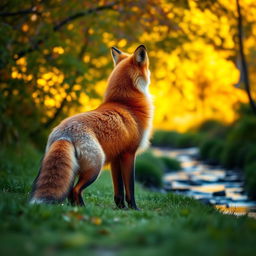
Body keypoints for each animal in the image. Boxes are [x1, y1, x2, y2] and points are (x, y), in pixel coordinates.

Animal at [30, 44, 153, 210]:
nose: (151, 75)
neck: (126, 104)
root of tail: (64, 134)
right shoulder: (129, 154)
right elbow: (130, 188)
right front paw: (134, 208)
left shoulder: (116, 157)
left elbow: (119, 190)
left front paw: (121, 208)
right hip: (96, 166)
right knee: (75, 190)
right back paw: (83, 208)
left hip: (73, 169)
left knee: (70, 192)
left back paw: (76, 208)